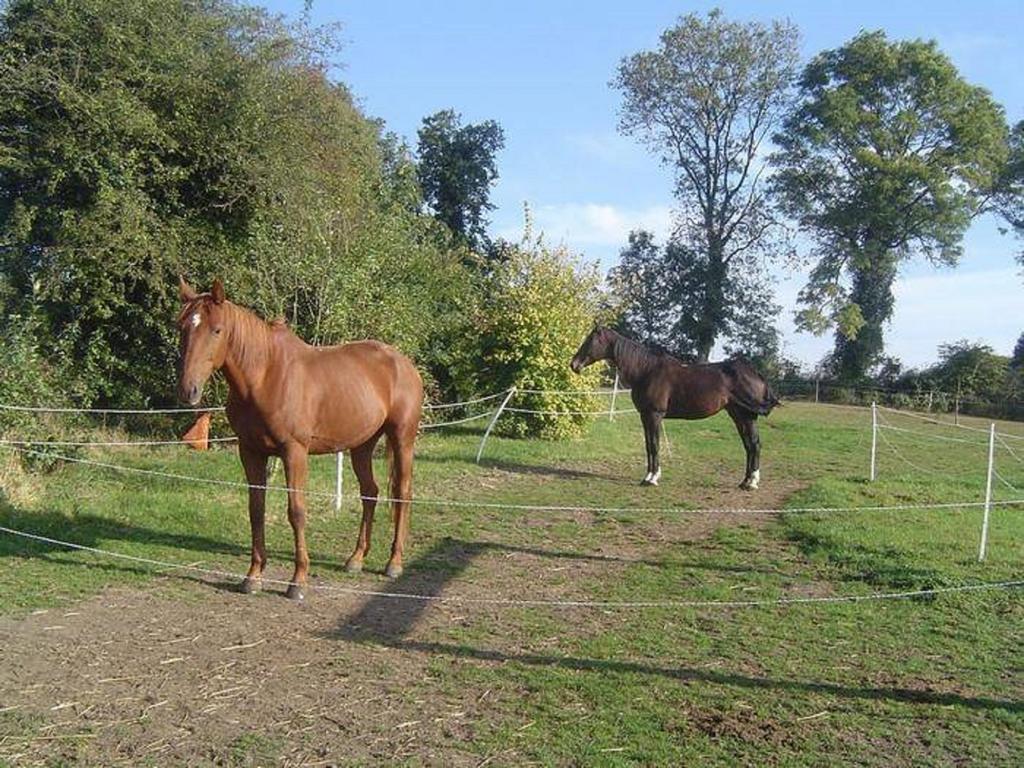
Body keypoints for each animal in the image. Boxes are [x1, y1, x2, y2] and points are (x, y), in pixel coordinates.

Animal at [178, 278, 421, 602]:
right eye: (181, 326)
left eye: (216, 330)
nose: (188, 390)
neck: (265, 375)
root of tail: (403, 363)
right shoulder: (250, 452)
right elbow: (256, 510)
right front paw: (252, 577)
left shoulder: (294, 452)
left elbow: (296, 511)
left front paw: (298, 581)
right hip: (362, 446)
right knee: (370, 492)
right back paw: (356, 559)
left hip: (402, 439)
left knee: (402, 494)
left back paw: (394, 563)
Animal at [573, 327, 778, 489]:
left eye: (590, 340)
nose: (573, 364)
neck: (646, 371)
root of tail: (754, 372)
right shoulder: (645, 416)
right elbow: (648, 445)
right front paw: (649, 476)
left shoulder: (654, 415)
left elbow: (655, 445)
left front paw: (652, 479)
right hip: (738, 415)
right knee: (749, 445)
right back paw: (745, 481)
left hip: (747, 416)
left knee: (754, 444)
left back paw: (752, 483)